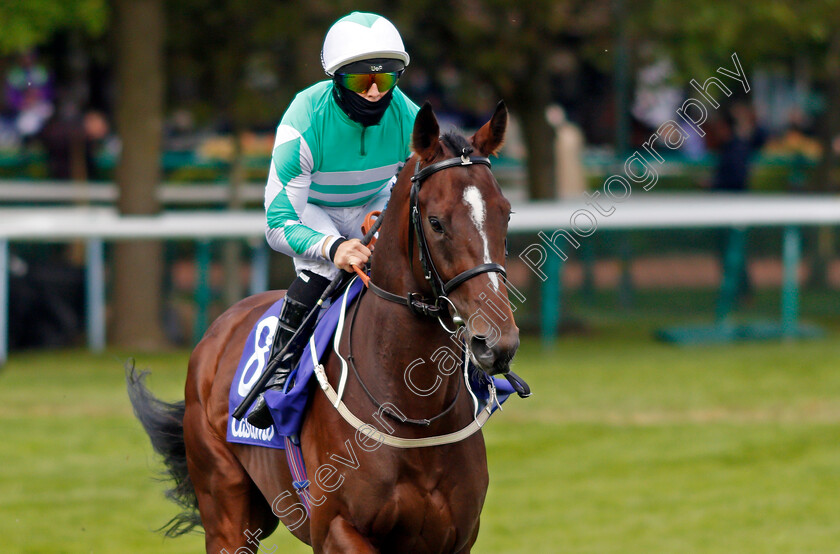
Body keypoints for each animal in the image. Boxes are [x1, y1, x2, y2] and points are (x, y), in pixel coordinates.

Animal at [128, 101, 520, 548]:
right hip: (226, 511)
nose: (497, 342)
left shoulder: (456, 536)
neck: (415, 416)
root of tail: (218, 330)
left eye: (506, 214)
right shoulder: (337, 528)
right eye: (436, 222)